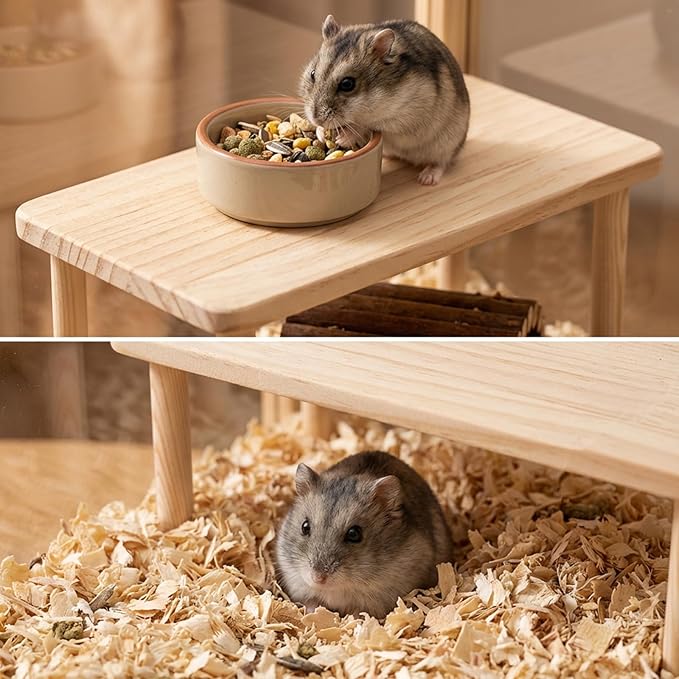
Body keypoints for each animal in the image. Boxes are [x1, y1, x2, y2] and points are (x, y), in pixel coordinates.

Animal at [275, 451, 454, 619]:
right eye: (305, 527)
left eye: (354, 534)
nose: (318, 578)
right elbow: (311, 602)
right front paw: (311, 614)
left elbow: (360, 613)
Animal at [299, 15, 470, 186]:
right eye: (313, 74)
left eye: (347, 84)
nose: (316, 119)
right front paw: (321, 133)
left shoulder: (403, 118)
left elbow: (368, 126)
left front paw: (343, 138)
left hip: (447, 144)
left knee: (442, 162)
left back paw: (426, 179)